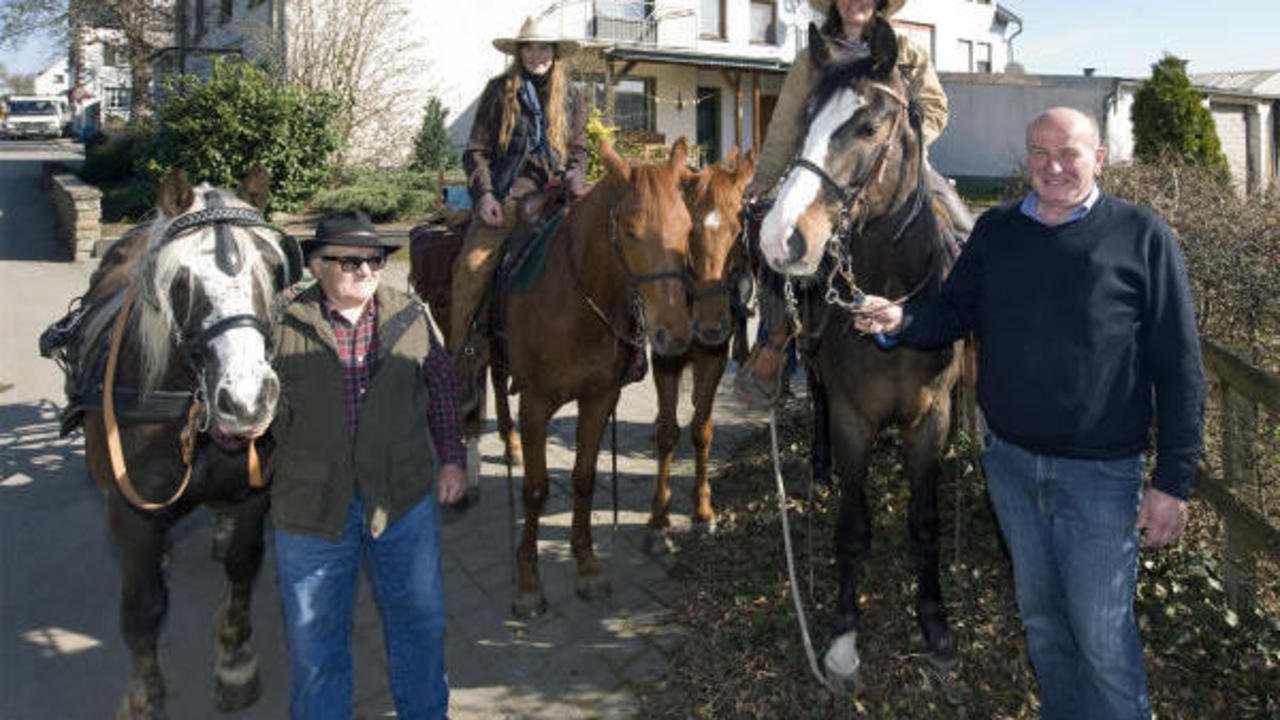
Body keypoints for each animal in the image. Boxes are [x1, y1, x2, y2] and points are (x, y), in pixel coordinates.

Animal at [39, 166, 299, 712]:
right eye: (180, 282)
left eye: (272, 268)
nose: (247, 400)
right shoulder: (131, 512)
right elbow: (143, 604)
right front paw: (143, 694)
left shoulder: (253, 492)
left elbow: (243, 567)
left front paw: (235, 664)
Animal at [504, 137, 696, 614]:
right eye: (630, 231)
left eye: (688, 228)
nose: (673, 335)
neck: (575, 302)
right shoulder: (534, 404)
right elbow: (535, 490)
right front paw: (528, 581)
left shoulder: (599, 398)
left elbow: (583, 479)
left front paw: (587, 563)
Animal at [645, 146, 752, 548]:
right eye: (688, 232)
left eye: (738, 231)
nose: (710, 324)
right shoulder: (664, 358)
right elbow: (668, 433)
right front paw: (658, 519)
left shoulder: (714, 357)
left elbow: (701, 429)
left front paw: (703, 511)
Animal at [752, 19, 957, 686]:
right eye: (805, 118)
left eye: (868, 127)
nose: (780, 238)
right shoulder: (851, 417)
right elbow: (852, 526)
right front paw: (843, 633)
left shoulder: (931, 416)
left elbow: (924, 521)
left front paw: (935, 624)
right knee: (814, 397)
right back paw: (815, 464)